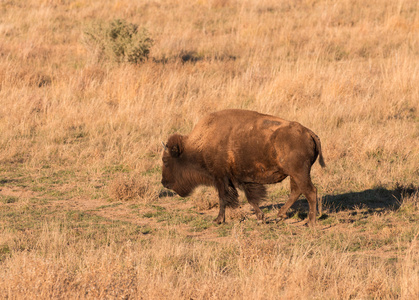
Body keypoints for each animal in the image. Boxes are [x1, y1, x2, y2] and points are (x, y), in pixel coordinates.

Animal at [162, 109, 326, 226]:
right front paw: (260, 218)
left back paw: (310, 223)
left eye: (165, 160)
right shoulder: (241, 180)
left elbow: (223, 198)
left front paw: (218, 220)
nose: (164, 182)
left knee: (310, 191)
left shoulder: (221, 178)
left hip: (299, 173)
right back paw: (280, 216)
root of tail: (309, 133)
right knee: (296, 191)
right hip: (294, 174)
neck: (200, 142)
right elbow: (251, 199)